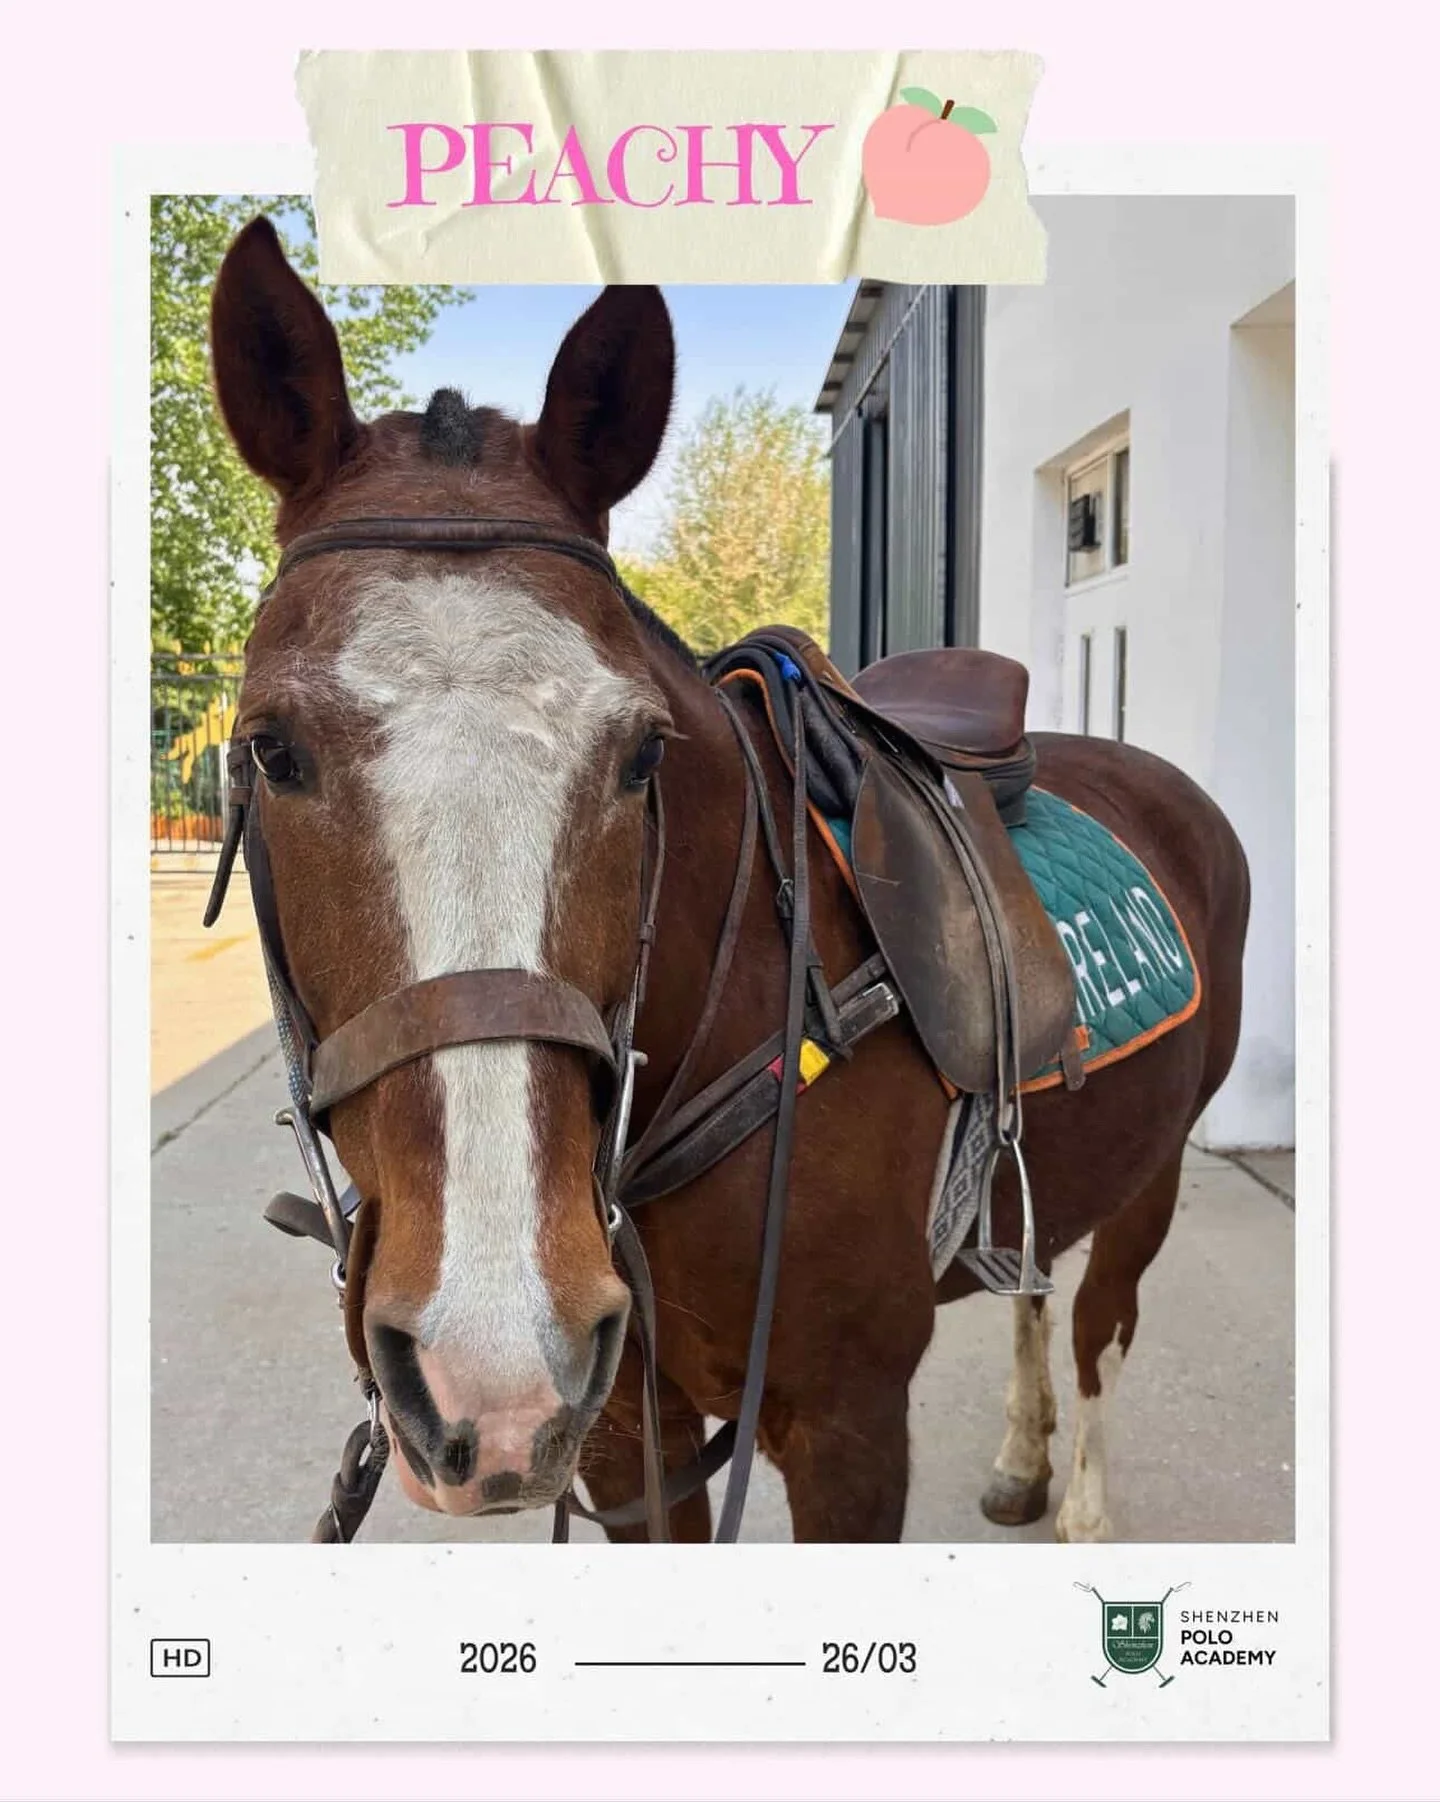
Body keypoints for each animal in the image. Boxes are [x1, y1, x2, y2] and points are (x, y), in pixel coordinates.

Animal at [206, 215, 1250, 1544]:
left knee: (1098, 1328)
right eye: (271, 748)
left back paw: (1084, 1509)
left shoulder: (849, 1430)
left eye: (642, 753)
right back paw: (1023, 1460)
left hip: (1154, 1169)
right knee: (1029, 1278)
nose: (486, 1361)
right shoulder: (620, 1431)